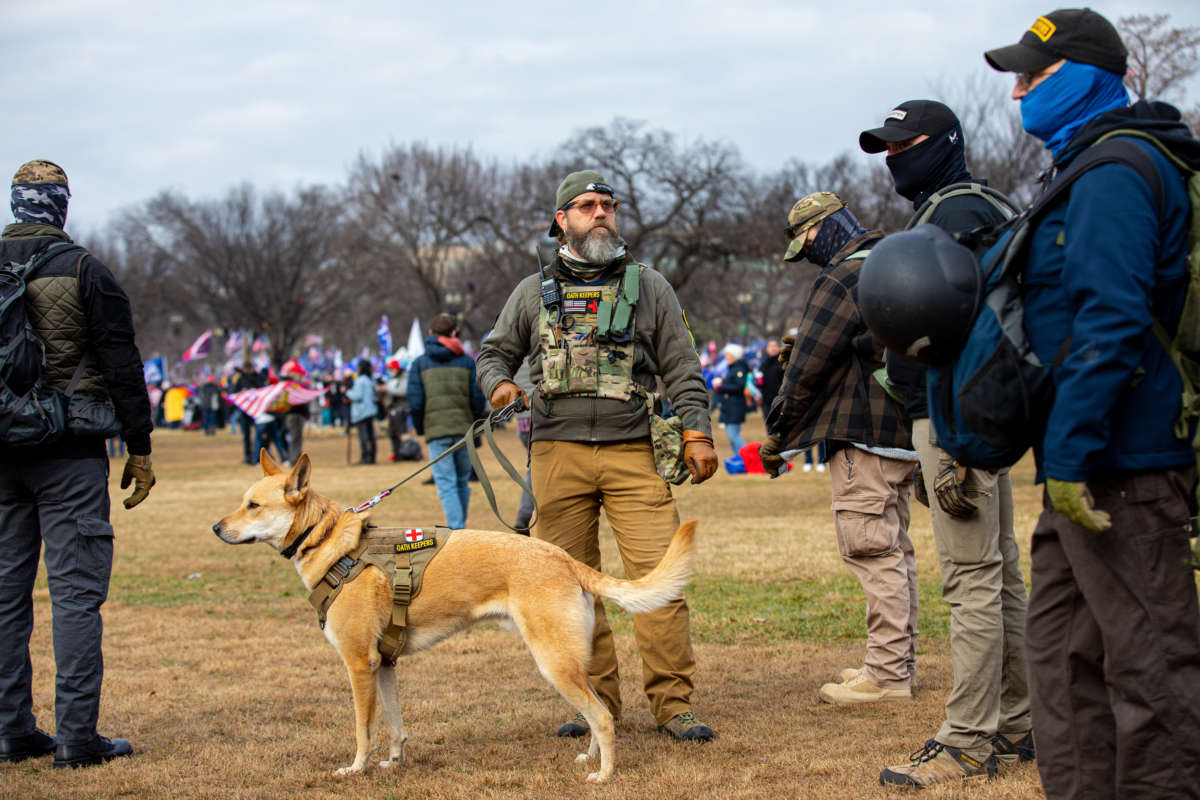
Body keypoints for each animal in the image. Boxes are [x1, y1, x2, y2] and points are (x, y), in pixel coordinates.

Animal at [212, 450, 700, 782]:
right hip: (570, 663)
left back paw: (603, 775)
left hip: (554, 664)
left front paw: (356, 769)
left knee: (601, 718)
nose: (217, 528)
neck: (331, 543)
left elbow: (362, 729)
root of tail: (563, 558)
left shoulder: (358, 665)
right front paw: (394, 763)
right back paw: (592, 759)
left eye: (253, 506)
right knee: (600, 710)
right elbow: (395, 726)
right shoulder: (384, 665)